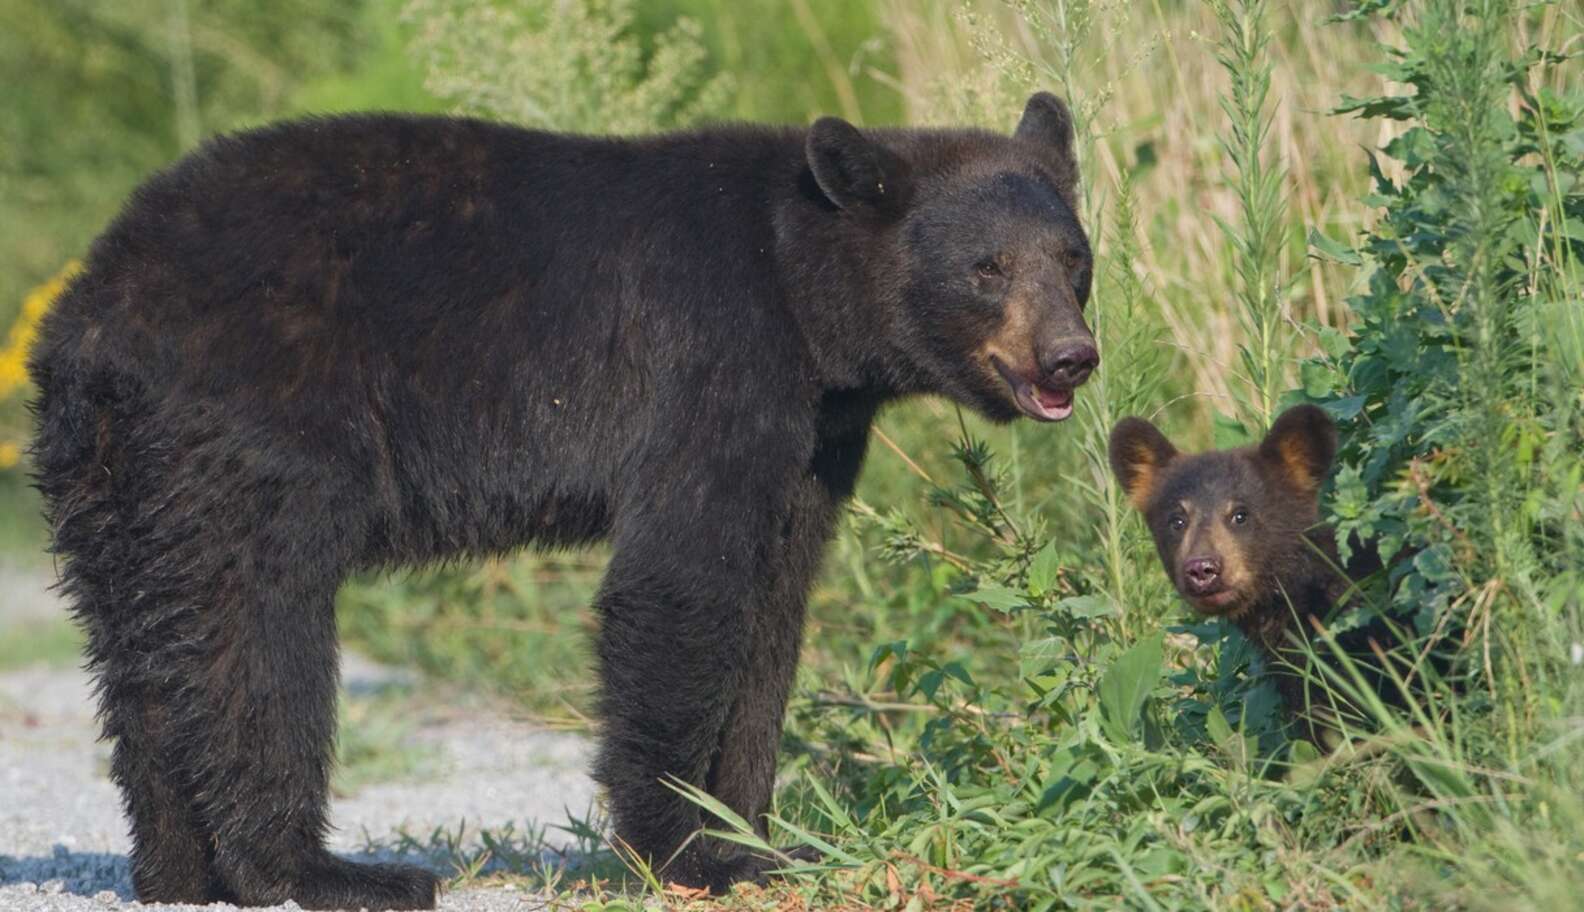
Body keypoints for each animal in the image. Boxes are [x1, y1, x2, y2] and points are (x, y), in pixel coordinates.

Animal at [27, 92, 1089, 905]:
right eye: (988, 267)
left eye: (1073, 257)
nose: (1071, 356)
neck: (799, 288)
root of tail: (92, 311)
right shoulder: (710, 362)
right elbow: (680, 586)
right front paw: (685, 849)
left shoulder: (814, 437)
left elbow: (775, 610)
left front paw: (753, 837)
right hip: (254, 426)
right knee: (257, 633)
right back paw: (321, 871)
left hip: (115, 478)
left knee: (145, 651)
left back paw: (176, 870)